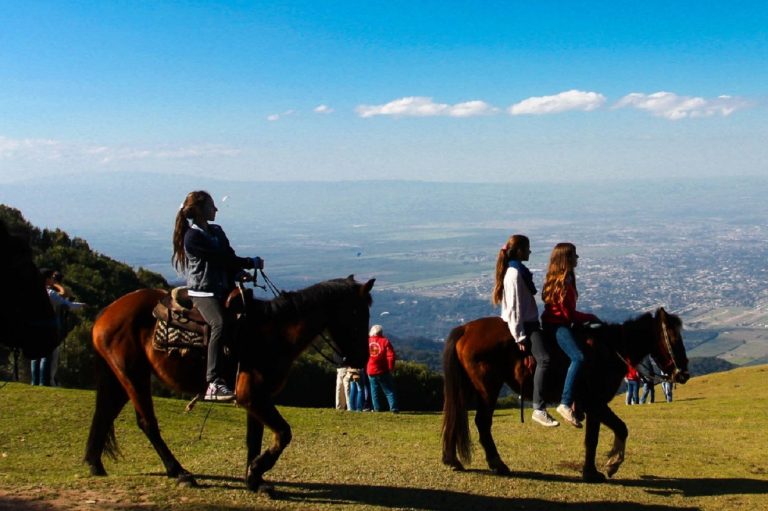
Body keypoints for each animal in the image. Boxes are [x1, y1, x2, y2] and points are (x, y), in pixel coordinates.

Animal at [86, 276, 376, 492]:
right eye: (356, 312)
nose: (362, 357)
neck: (275, 333)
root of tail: (106, 312)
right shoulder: (252, 396)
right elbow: (283, 433)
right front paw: (258, 468)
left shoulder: (257, 399)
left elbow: (254, 439)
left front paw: (255, 480)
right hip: (133, 375)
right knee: (147, 423)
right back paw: (179, 472)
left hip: (121, 377)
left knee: (104, 413)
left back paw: (94, 464)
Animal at [440, 308, 688, 484]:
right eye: (674, 340)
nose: (683, 373)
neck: (609, 349)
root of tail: (465, 329)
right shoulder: (595, 403)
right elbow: (611, 431)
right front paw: (606, 466)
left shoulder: (593, 406)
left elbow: (601, 435)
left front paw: (597, 469)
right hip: (488, 389)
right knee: (482, 423)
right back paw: (497, 464)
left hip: (466, 388)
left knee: (455, 417)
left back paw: (452, 460)